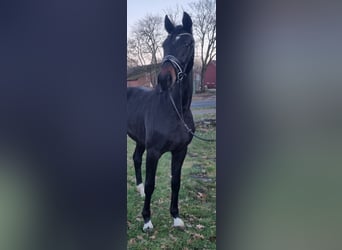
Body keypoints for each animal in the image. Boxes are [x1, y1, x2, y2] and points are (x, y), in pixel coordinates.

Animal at [127, 11, 194, 230]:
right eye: (165, 44)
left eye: (188, 44)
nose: (164, 79)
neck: (176, 111)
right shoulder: (154, 152)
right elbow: (151, 184)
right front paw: (147, 220)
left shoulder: (180, 151)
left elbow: (176, 182)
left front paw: (176, 217)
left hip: (140, 139)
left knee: (136, 158)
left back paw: (139, 190)